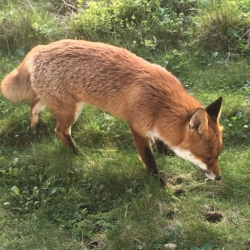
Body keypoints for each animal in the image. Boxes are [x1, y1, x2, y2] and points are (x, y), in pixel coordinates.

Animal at [0, 39, 223, 184]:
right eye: (207, 158)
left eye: (218, 155)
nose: (219, 177)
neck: (161, 103)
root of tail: (39, 48)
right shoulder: (137, 128)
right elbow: (149, 160)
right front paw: (159, 182)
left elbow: (159, 140)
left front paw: (164, 150)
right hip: (71, 111)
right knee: (60, 131)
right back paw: (77, 153)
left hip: (55, 102)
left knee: (34, 103)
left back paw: (34, 126)